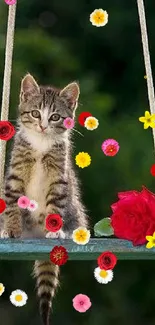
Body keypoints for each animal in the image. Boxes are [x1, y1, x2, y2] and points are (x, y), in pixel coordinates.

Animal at [1, 73, 88, 324]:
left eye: (55, 117)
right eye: (35, 113)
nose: (42, 126)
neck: (41, 144)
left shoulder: (59, 178)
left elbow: (55, 205)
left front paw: (55, 229)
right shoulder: (15, 172)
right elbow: (12, 203)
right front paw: (11, 229)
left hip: (75, 213)